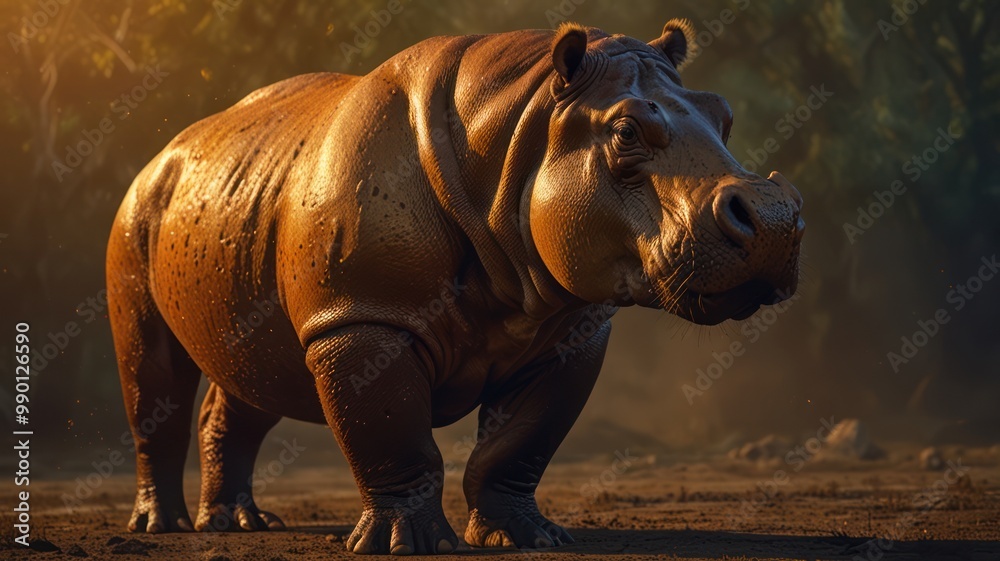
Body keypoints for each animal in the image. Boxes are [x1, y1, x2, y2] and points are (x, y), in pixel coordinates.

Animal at [107, 19, 804, 555]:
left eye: (726, 120)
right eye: (626, 133)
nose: (773, 221)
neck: (523, 129)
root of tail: (172, 149)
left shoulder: (570, 322)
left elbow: (520, 442)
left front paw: (526, 538)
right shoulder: (361, 316)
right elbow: (392, 431)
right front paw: (405, 545)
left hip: (240, 209)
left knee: (253, 372)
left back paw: (241, 524)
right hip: (138, 209)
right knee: (155, 369)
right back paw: (164, 528)